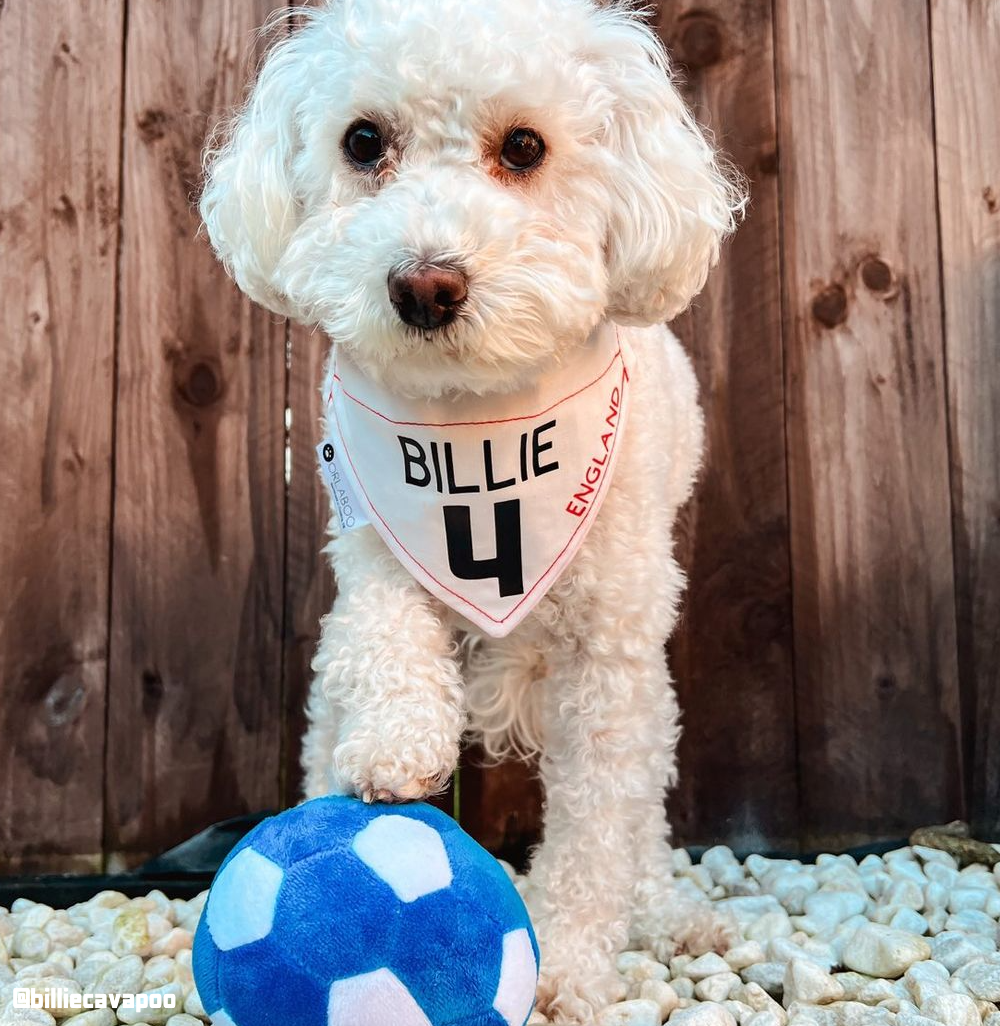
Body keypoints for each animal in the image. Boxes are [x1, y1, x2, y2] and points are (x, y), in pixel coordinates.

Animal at [201, 2, 742, 1017]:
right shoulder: (369, 544)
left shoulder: (610, 658)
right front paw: (395, 745)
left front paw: (563, 965)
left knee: (640, 818)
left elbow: (596, 832)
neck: (474, 420)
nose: (424, 285)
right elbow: (386, 632)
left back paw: (666, 912)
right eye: (362, 141)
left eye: (525, 146)